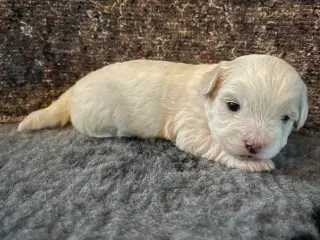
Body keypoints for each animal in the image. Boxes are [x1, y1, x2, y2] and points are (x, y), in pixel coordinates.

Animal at [17, 54, 308, 172]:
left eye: (286, 119)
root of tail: (74, 89)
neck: (206, 102)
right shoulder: (189, 126)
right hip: (95, 115)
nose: (254, 146)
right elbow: (215, 145)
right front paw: (253, 163)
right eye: (233, 106)